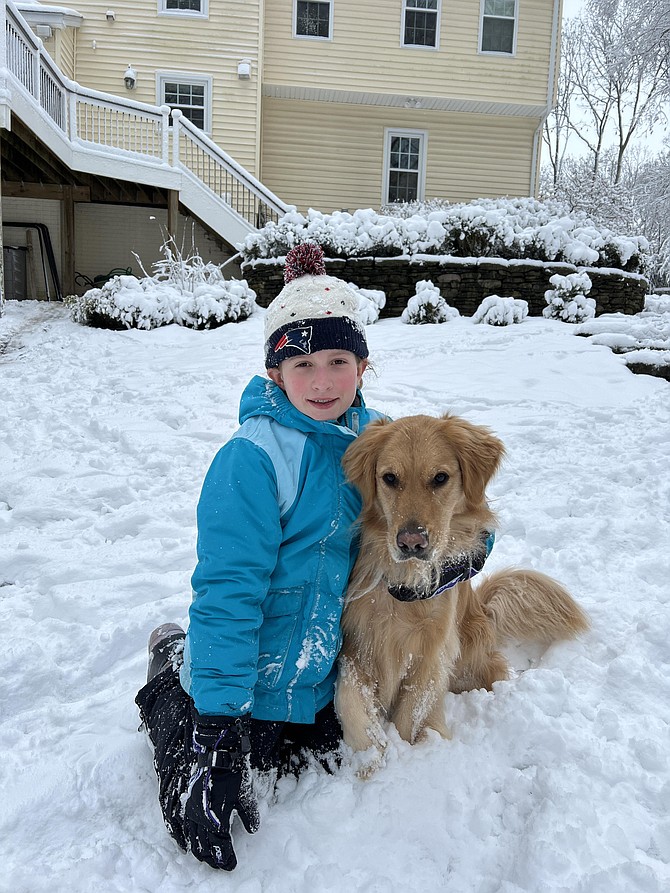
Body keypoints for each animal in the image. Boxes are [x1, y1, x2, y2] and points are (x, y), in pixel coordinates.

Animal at [336, 414, 588, 772]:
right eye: (389, 478)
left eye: (440, 478)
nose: (412, 542)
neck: (408, 586)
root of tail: (485, 610)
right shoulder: (359, 642)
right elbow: (349, 696)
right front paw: (371, 758)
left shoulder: (433, 653)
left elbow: (411, 714)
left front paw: (408, 754)